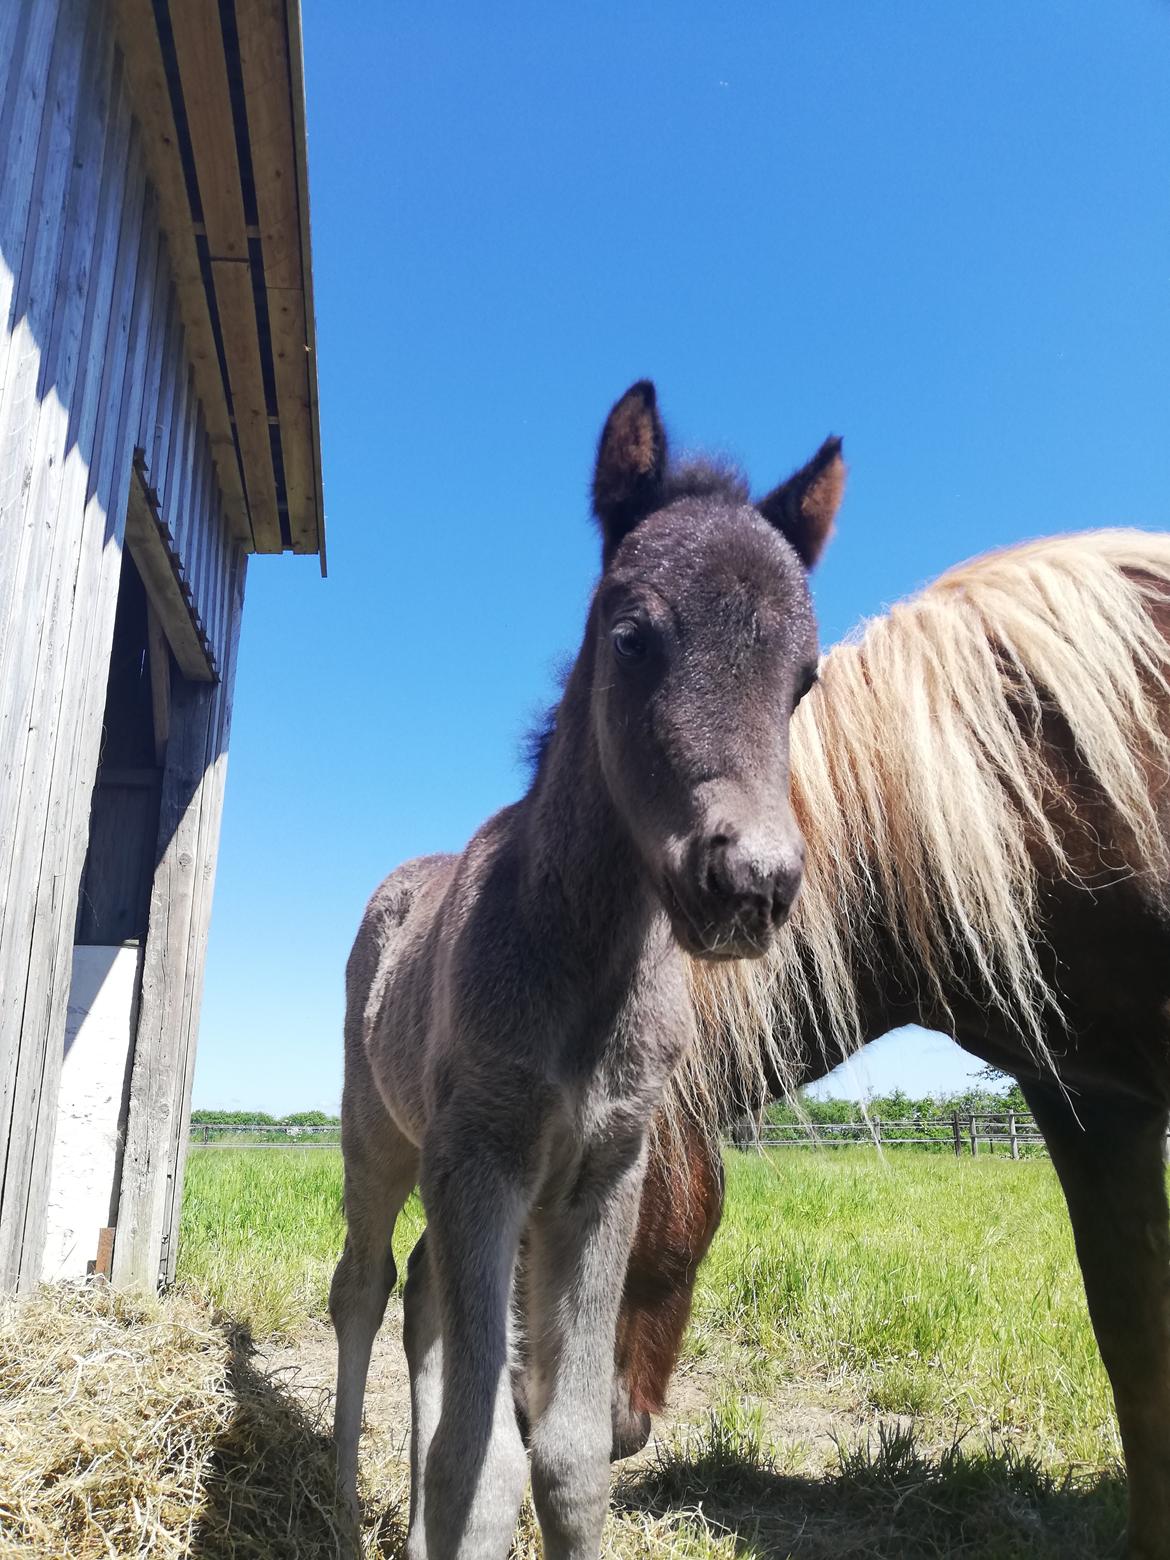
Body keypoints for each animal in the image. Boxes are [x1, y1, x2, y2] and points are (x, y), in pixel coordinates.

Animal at [330, 380, 842, 1560]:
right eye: (632, 635)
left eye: (804, 678)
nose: (750, 882)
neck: (584, 965)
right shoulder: (482, 1161)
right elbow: (480, 1463)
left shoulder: (607, 1172)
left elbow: (565, 1456)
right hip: (378, 1137)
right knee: (364, 1286)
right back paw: (328, 1497)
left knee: (420, 1299)